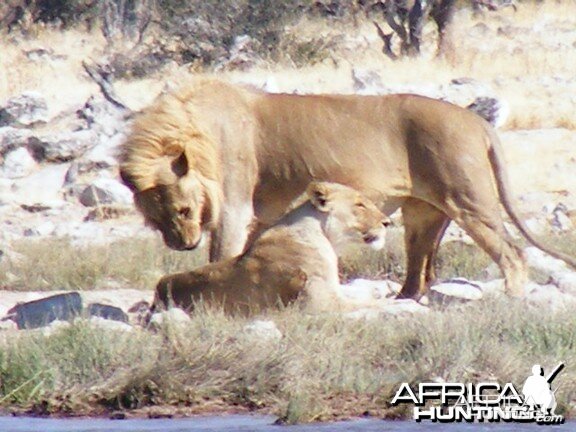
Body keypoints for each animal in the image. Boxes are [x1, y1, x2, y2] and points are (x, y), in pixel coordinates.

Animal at [119, 79, 572, 298]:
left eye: (182, 210)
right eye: (155, 219)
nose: (181, 245)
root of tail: (476, 119)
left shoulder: (234, 206)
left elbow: (221, 255)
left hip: (469, 200)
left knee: (512, 253)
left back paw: (511, 299)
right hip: (423, 211)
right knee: (421, 270)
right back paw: (401, 301)